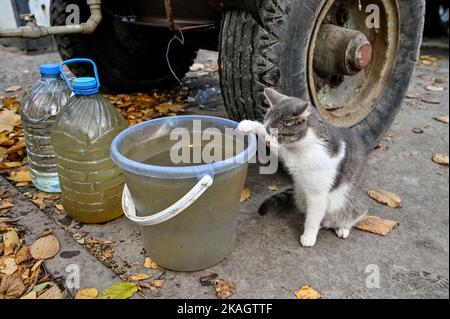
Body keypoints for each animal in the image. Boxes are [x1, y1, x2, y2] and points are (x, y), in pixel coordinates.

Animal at [237, 89, 368, 249]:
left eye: (279, 135)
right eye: (268, 130)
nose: (267, 142)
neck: (303, 144)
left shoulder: (317, 192)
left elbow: (312, 218)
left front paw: (309, 236)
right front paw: (249, 124)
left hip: (351, 204)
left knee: (350, 215)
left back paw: (342, 227)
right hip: (300, 196)